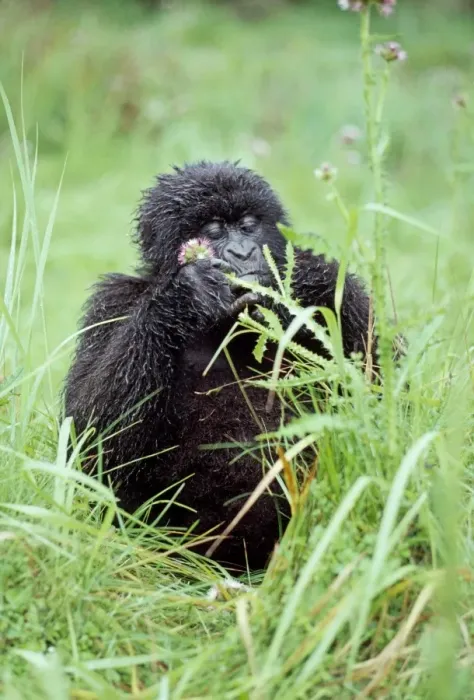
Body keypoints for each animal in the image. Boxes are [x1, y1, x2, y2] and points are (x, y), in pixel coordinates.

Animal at [63, 160, 381, 573]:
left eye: (248, 225)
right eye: (212, 231)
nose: (243, 252)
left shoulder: (350, 299)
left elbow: (389, 390)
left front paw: (299, 279)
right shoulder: (112, 300)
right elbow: (90, 438)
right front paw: (185, 294)